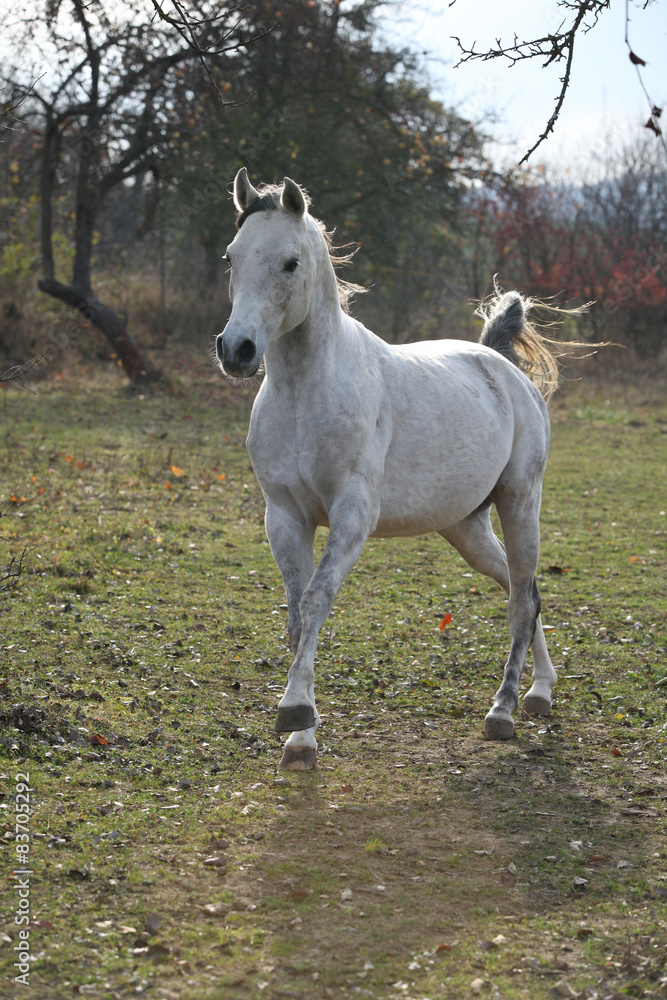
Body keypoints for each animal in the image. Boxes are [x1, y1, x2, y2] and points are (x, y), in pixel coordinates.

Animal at [218, 168, 560, 768]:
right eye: (231, 257)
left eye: (290, 262)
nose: (236, 349)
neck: (306, 392)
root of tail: (502, 365)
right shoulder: (284, 517)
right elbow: (296, 615)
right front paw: (300, 739)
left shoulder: (353, 516)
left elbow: (316, 600)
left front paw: (294, 714)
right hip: (466, 529)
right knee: (525, 590)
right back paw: (541, 692)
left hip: (521, 502)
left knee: (522, 598)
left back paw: (504, 711)